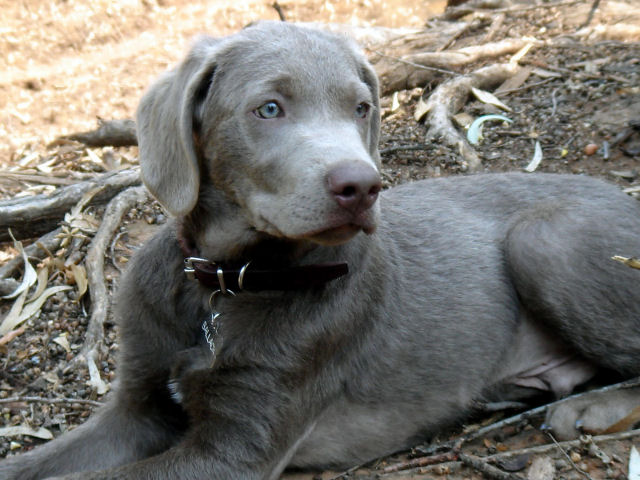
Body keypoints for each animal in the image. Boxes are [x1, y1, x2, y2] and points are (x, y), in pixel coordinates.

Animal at [1, 20, 640, 480]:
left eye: (362, 108)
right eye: (269, 108)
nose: (362, 186)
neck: (226, 285)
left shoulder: (235, 449)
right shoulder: (135, 408)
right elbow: (35, 465)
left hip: (545, 239)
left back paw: (588, 410)